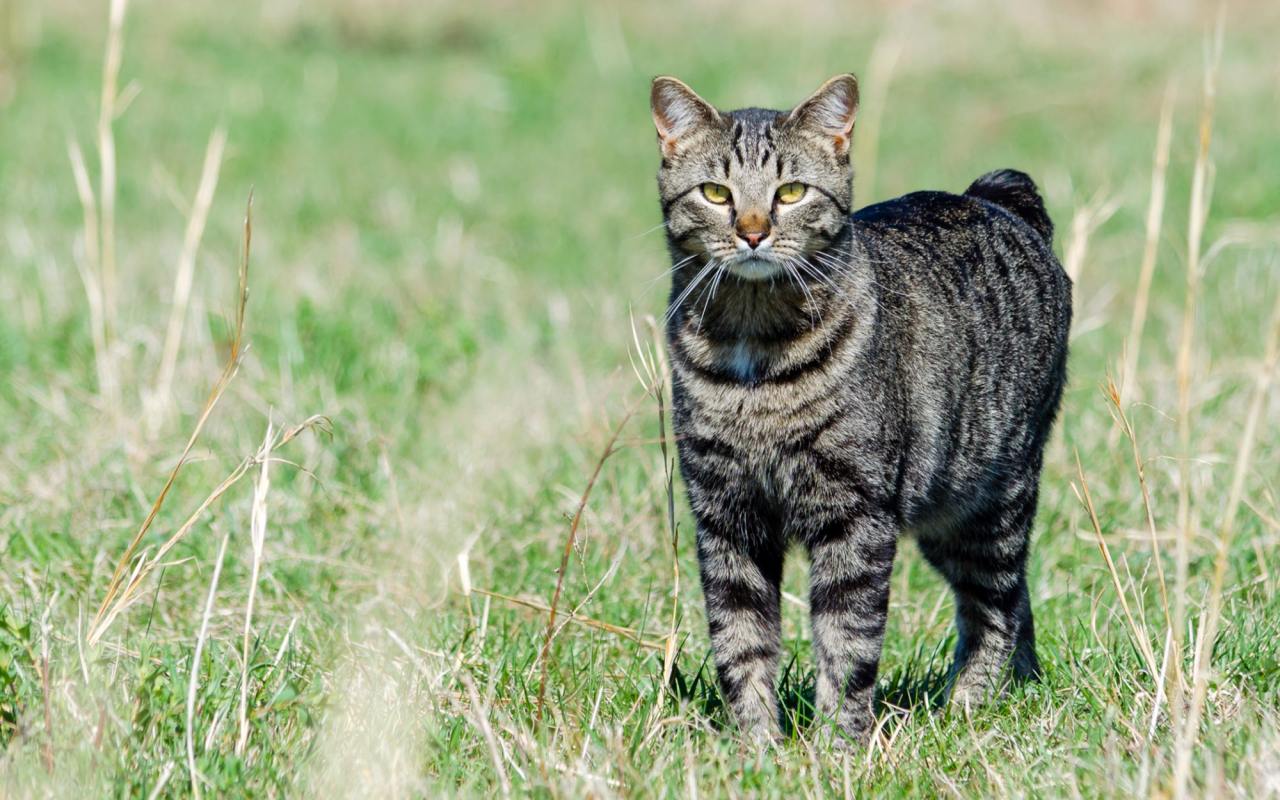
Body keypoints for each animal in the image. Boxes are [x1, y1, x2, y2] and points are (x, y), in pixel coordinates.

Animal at [650, 73, 1070, 742]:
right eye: (716, 193)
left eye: (791, 192)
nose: (751, 231)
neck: (753, 352)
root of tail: (992, 197)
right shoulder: (726, 515)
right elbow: (740, 640)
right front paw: (755, 745)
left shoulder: (855, 514)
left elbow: (846, 641)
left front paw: (837, 746)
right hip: (944, 516)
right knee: (1018, 598)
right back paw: (1014, 690)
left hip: (992, 500)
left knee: (997, 607)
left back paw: (968, 707)